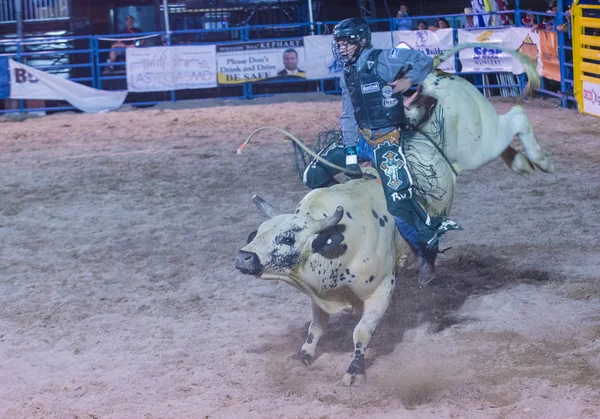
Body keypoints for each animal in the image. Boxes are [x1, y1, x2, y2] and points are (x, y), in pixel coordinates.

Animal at [234, 169, 422, 386]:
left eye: (288, 238)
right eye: (257, 232)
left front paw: (355, 370)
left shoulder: (380, 291)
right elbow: (316, 327)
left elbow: (361, 332)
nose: (243, 257)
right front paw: (303, 356)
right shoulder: (318, 295)